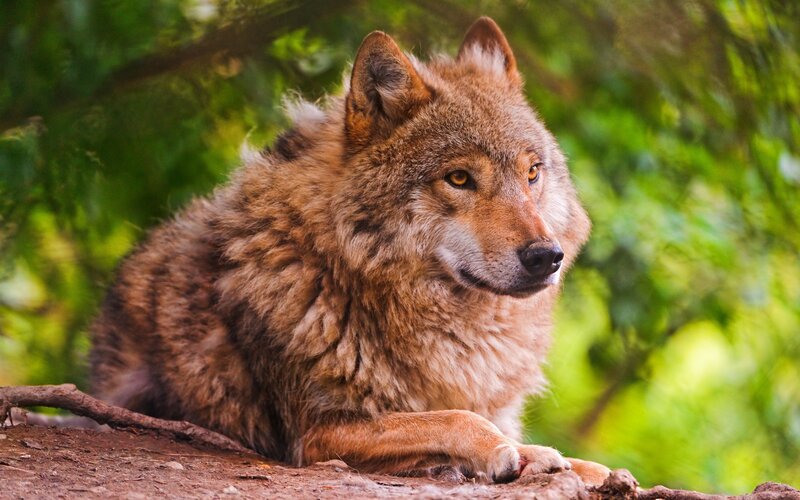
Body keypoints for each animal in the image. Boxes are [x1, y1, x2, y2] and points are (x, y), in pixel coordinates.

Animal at [89, 17, 609, 485]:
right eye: (459, 178)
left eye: (532, 172)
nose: (546, 256)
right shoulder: (318, 433)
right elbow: (454, 417)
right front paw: (511, 455)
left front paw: (579, 465)